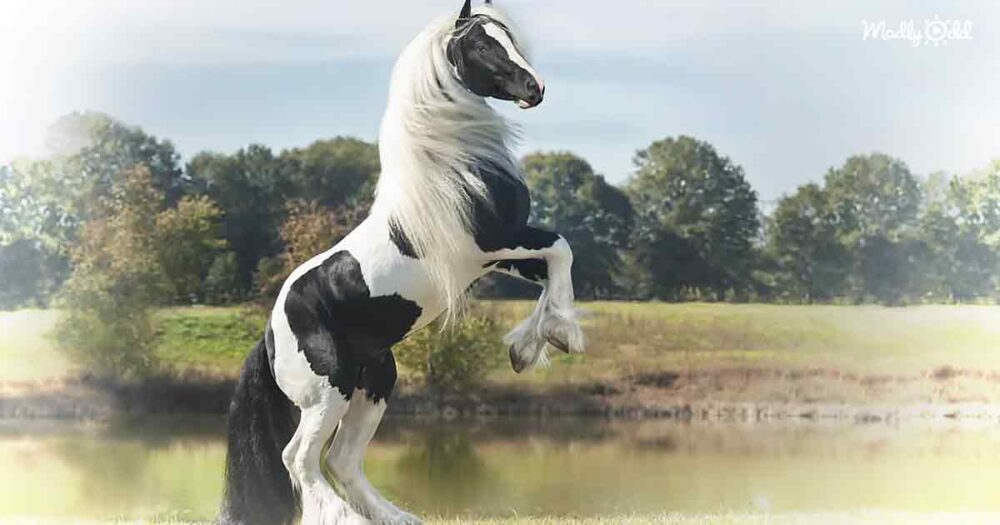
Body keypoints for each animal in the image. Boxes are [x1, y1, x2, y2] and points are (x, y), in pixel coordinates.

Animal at [219, 1, 584, 523]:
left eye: (508, 38)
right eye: (482, 44)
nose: (535, 89)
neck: (454, 169)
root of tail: (270, 335)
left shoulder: (497, 258)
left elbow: (554, 267)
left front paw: (528, 347)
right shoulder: (494, 245)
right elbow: (561, 248)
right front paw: (559, 336)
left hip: (375, 381)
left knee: (342, 459)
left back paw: (398, 517)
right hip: (329, 390)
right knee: (300, 458)